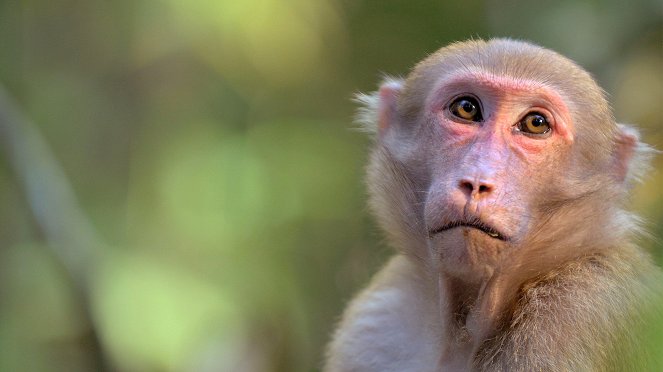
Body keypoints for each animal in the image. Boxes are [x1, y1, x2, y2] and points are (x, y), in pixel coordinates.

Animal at [326, 39, 663, 370]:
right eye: (466, 108)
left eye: (535, 123)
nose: (477, 182)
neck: (462, 333)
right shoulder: (376, 322)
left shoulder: (575, 311)